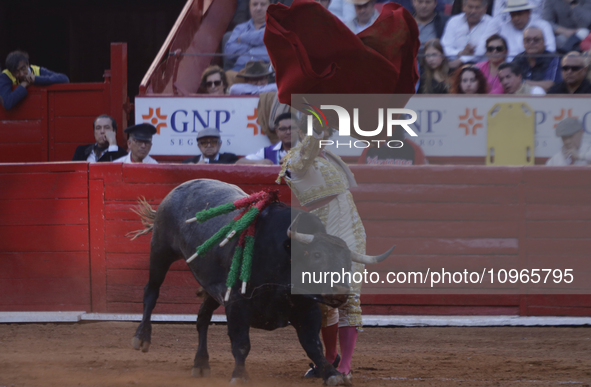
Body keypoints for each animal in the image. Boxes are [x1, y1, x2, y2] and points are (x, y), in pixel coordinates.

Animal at [132, 180, 396, 386]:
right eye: (316, 255)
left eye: (348, 263)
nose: (341, 293)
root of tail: (181, 188)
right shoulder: (237, 304)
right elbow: (241, 343)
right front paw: (239, 375)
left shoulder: (306, 309)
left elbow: (313, 344)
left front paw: (331, 373)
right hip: (161, 250)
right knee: (151, 291)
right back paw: (142, 337)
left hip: (213, 287)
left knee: (202, 317)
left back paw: (200, 364)